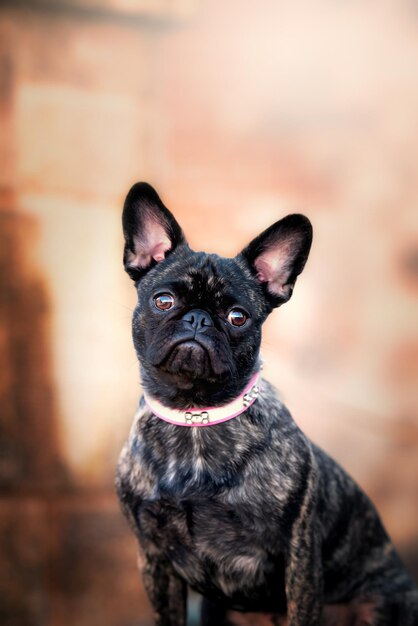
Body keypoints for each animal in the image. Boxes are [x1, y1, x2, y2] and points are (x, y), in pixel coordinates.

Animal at [115, 182, 418, 624]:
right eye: (164, 301)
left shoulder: (300, 556)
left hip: (377, 603)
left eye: (238, 317)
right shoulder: (153, 558)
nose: (198, 319)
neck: (196, 415)